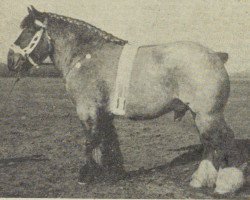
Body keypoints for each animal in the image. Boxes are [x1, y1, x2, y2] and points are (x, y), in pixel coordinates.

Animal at [6, 5, 247, 194]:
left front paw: (86, 175)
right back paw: (200, 180)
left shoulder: (87, 110)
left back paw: (226, 184)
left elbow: (90, 141)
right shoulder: (103, 113)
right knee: (210, 144)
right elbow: (106, 142)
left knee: (223, 139)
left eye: (29, 30)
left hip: (208, 114)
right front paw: (111, 173)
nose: (10, 61)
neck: (85, 56)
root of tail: (216, 55)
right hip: (199, 115)